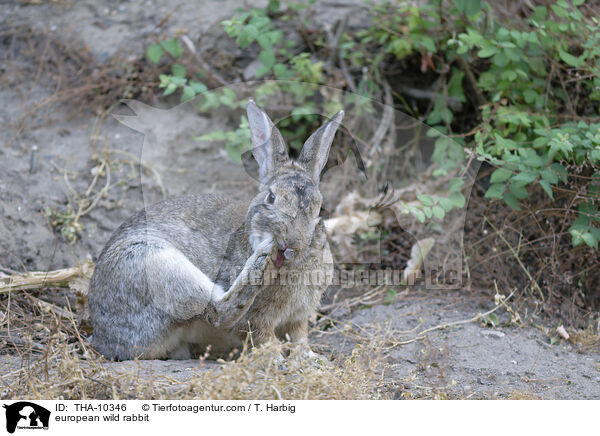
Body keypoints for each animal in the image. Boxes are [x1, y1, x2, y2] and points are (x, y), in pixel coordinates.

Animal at [87, 100, 344, 360]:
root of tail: (104, 339)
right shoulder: (256, 321)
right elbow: (262, 336)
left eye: (319, 207)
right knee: (217, 312)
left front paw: (310, 358)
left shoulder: (298, 318)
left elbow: (299, 337)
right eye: (271, 198)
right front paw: (278, 359)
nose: (290, 244)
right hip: (152, 261)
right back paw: (259, 265)